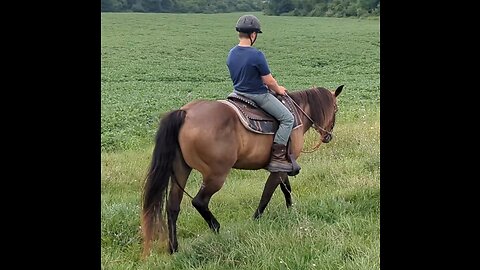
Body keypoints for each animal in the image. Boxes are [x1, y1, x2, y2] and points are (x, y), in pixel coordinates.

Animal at [141, 84, 344, 255]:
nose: (328, 136)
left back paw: (174, 248)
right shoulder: (279, 168)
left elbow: (285, 188)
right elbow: (268, 193)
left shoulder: (283, 166)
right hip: (216, 175)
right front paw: (256, 220)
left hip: (181, 170)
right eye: (336, 109)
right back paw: (217, 229)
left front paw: (291, 210)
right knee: (199, 201)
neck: (297, 114)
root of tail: (185, 113)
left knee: (173, 206)